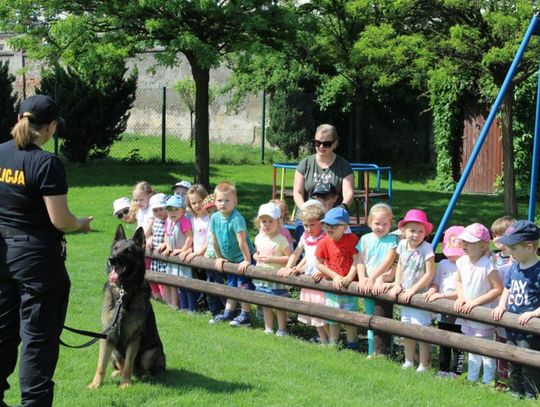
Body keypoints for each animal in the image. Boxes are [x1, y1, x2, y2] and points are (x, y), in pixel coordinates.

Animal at [88, 226, 167, 388]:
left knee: (145, 369)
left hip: (150, 353)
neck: (123, 291)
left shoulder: (134, 338)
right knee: (120, 365)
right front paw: (95, 384)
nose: (111, 259)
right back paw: (117, 373)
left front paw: (125, 385)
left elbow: (129, 364)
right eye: (115, 249)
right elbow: (101, 365)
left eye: (128, 251)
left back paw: (145, 376)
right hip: (114, 351)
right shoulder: (107, 336)